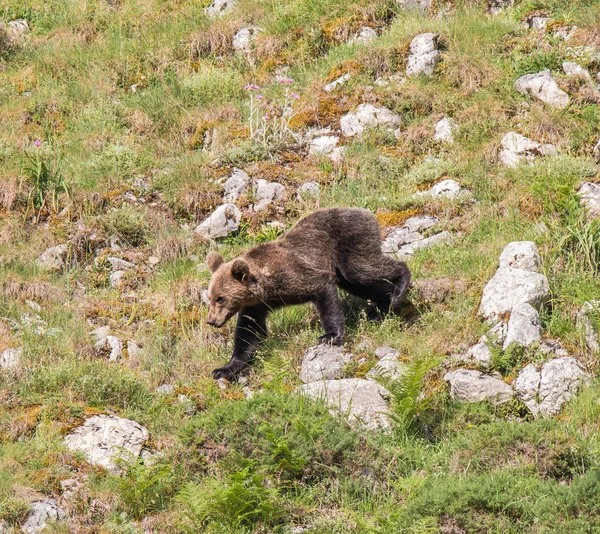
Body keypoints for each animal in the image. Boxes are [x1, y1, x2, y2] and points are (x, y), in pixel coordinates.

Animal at [205, 208, 408, 382]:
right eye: (211, 298)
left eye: (221, 298)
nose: (211, 321)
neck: (267, 285)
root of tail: (366, 212)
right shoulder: (257, 305)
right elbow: (249, 333)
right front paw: (224, 369)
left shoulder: (296, 275)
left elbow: (323, 293)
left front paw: (329, 336)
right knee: (359, 284)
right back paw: (381, 308)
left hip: (350, 242)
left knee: (364, 269)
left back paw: (399, 288)